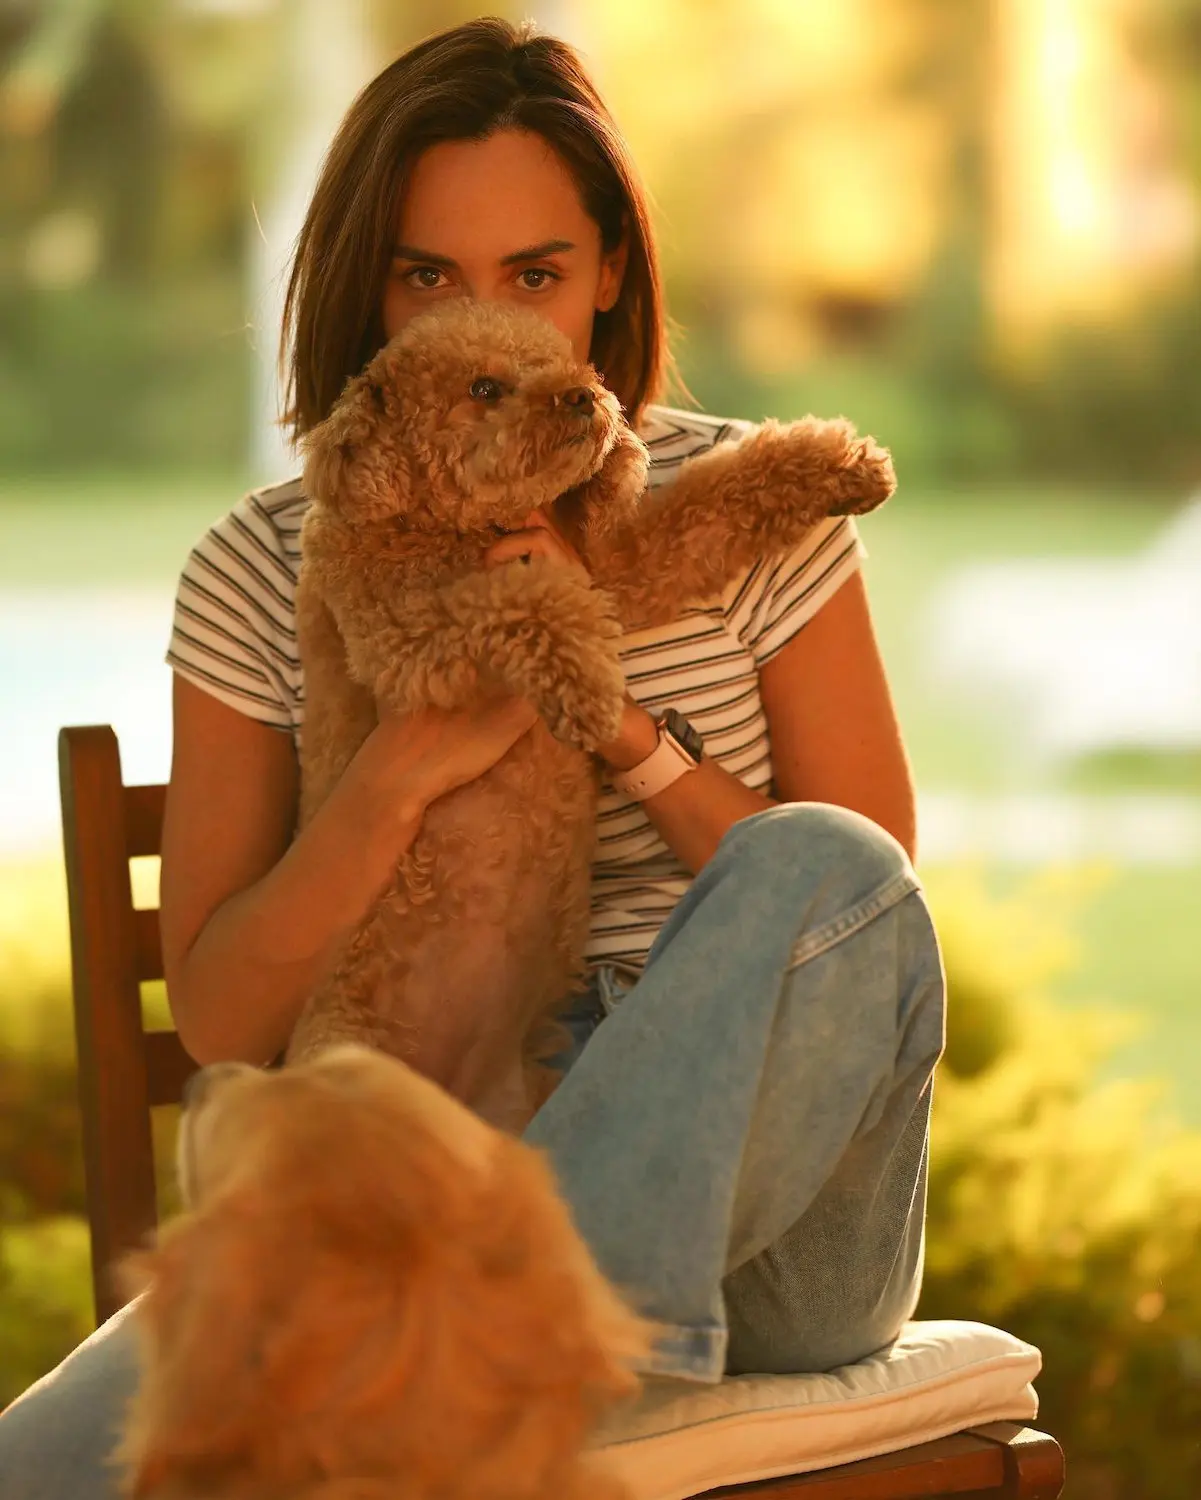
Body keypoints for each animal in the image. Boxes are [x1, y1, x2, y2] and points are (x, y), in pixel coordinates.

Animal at [287, 298, 887, 1128]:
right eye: (483, 387)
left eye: (559, 357)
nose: (583, 395)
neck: (446, 527)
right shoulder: (405, 639)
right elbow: (520, 598)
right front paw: (585, 691)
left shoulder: (612, 572)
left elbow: (706, 506)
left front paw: (843, 463)